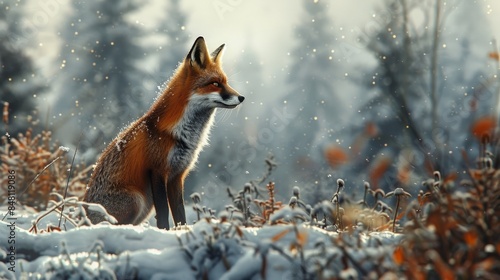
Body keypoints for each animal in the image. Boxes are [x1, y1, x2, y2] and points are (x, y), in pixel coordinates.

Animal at [83, 36, 243, 230]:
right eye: (215, 84)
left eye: (226, 82)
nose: (242, 97)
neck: (183, 135)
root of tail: (82, 215)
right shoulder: (157, 170)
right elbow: (164, 212)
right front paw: (165, 230)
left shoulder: (177, 174)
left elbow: (179, 212)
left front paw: (182, 230)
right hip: (137, 200)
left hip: (144, 205)